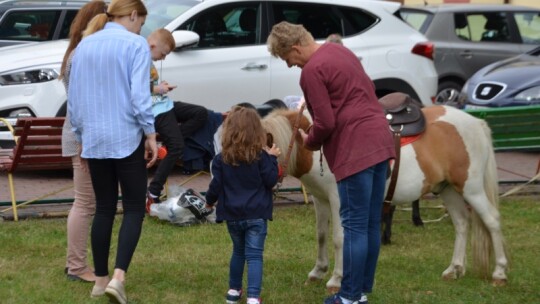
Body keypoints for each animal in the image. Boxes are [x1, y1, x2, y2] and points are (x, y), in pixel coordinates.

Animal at [262, 104, 506, 292]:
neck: (315, 144)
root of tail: (476, 123)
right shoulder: (320, 199)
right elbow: (321, 235)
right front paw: (317, 272)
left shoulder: (338, 199)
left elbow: (339, 238)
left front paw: (336, 279)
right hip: (448, 189)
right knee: (462, 224)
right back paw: (454, 269)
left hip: (471, 189)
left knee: (492, 221)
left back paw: (499, 273)